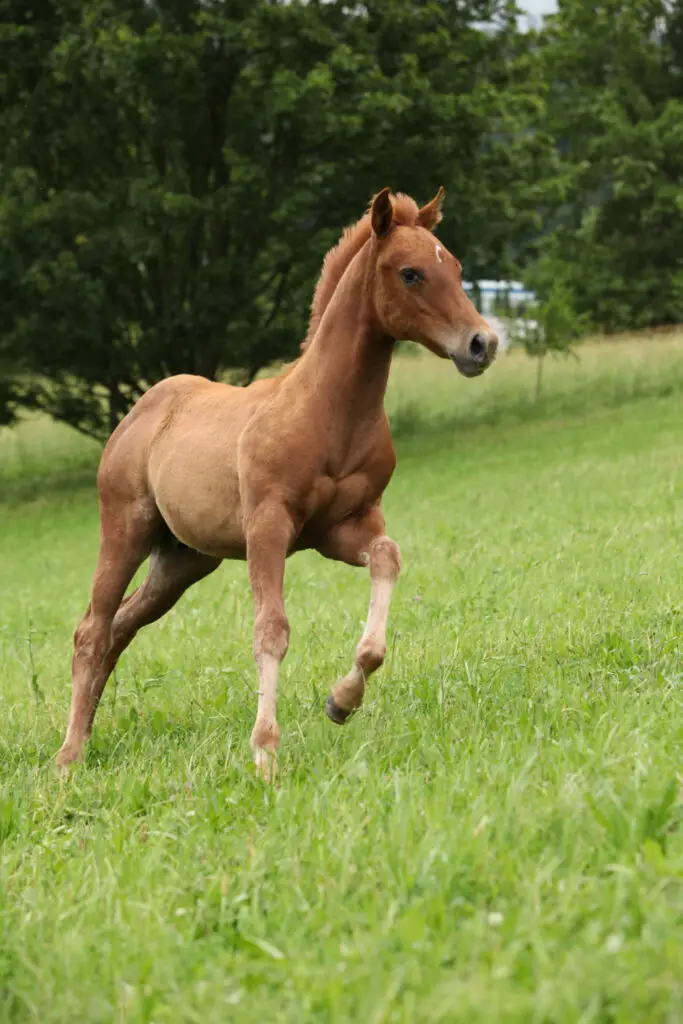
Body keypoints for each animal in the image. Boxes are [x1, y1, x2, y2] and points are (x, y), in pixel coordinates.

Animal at [56, 188, 497, 778]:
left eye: (458, 267)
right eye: (410, 273)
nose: (482, 344)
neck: (330, 410)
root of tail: (139, 413)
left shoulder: (343, 527)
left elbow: (387, 560)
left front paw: (341, 701)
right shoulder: (269, 527)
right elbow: (271, 630)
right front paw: (265, 751)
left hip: (183, 560)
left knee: (121, 627)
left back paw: (85, 734)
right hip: (125, 529)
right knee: (92, 629)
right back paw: (68, 757)